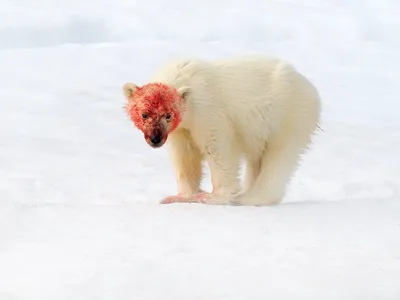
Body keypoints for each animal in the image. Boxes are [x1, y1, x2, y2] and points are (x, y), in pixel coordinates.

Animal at [122, 55, 322, 206]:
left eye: (168, 114)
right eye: (144, 114)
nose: (155, 138)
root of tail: (310, 87)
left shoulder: (207, 110)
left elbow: (217, 148)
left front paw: (213, 197)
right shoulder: (180, 129)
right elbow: (185, 156)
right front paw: (178, 197)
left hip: (287, 115)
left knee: (280, 156)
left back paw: (250, 198)